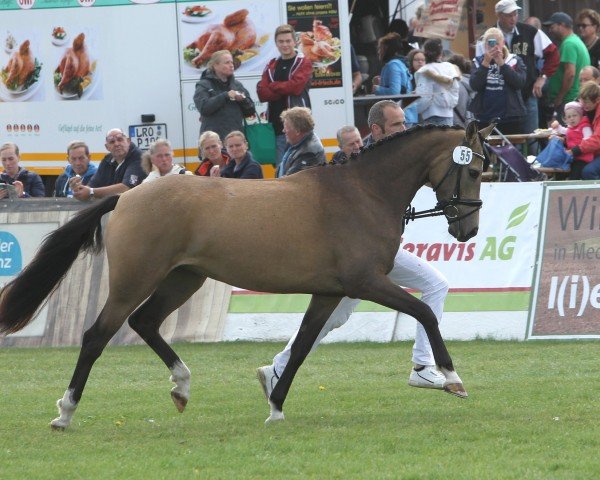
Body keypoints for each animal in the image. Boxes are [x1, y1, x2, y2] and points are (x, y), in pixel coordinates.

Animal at [0, 123, 492, 428]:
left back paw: (182, 386)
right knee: (97, 336)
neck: (361, 193)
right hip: (134, 281)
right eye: (472, 168)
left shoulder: (329, 293)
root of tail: (128, 196)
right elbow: (425, 314)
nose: (467, 230)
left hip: (184, 279)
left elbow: (302, 346)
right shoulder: (366, 284)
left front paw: (275, 408)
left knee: (145, 323)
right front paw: (452, 378)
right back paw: (65, 412)